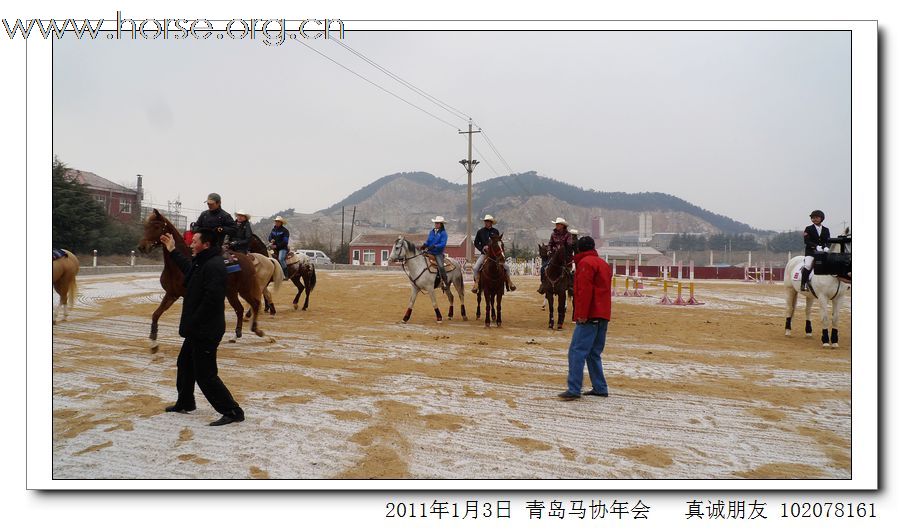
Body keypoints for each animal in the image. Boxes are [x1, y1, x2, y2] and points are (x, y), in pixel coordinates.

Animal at [136, 208, 266, 352]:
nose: (142, 247)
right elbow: (156, 315)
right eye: (145, 227)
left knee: (255, 304)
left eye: (157, 227)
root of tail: (247, 259)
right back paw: (236, 335)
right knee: (240, 309)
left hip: (244, 289)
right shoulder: (171, 294)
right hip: (231, 292)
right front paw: (154, 342)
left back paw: (257, 330)